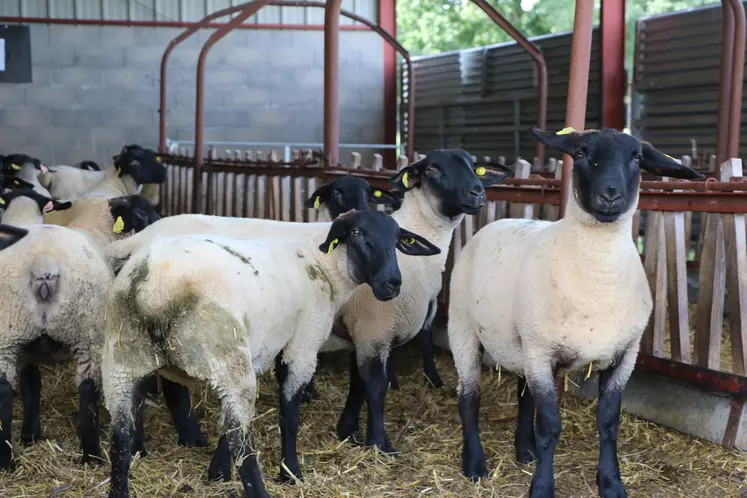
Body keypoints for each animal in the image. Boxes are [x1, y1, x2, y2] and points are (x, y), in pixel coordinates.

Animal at [102, 208, 442, 498]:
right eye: (357, 233)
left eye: (397, 240)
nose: (391, 284)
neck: (324, 265)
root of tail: (154, 291)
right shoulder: (303, 344)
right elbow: (289, 415)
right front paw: (290, 472)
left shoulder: (259, 348)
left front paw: (218, 471)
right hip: (225, 359)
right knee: (243, 444)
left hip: (123, 362)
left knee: (120, 438)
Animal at [450, 128, 708, 498]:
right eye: (582, 152)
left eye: (636, 158)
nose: (610, 193)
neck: (598, 276)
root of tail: (495, 223)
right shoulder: (542, 353)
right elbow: (550, 427)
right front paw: (542, 487)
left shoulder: (624, 356)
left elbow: (609, 423)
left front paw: (611, 483)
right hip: (463, 329)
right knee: (469, 398)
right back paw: (474, 465)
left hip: (522, 345)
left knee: (523, 397)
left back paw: (524, 451)